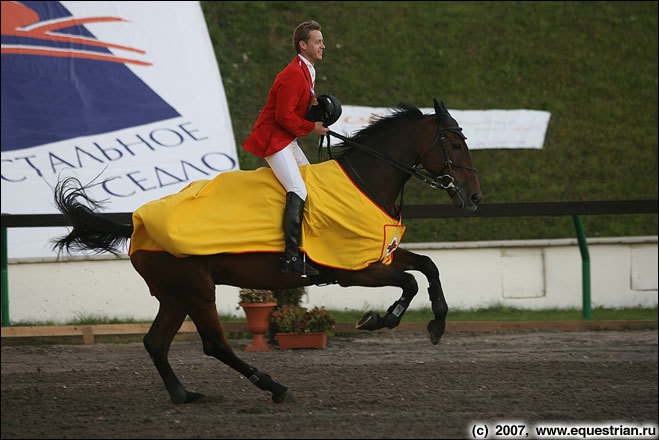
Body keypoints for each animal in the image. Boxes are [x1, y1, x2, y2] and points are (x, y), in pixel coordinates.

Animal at [51, 99, 482, 406]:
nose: (475, 199)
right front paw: (380, 319)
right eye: (455, 143)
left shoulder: (379, 255)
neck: (365, 181)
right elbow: (410, 282)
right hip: (196, 291)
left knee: (156, 342)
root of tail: (137, 221)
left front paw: (437, 324)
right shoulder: (356, 271)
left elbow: (429, 266)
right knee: (214, 345)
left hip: (175, 296)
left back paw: (184, 395)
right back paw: (273, 386)